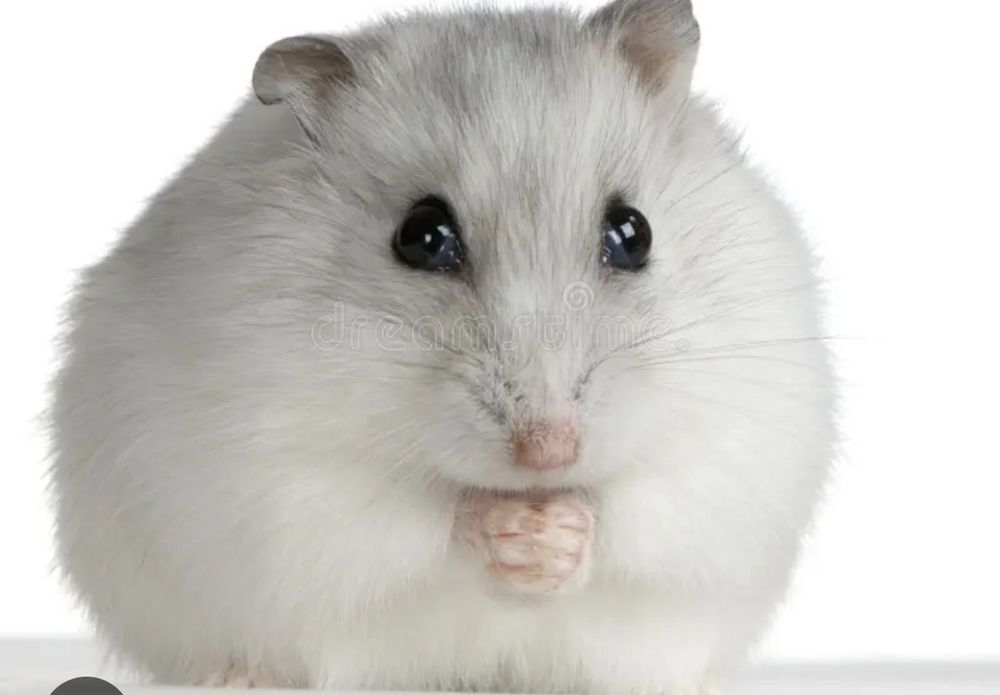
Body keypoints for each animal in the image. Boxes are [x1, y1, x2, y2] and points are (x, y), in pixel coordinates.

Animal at [50, 1, 835, 692]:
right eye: (422, 237)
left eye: (632, 233)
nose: (548, 451)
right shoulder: (285, 477)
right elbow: (427, 517)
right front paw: (516, 531)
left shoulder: (730, 451)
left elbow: (629, 513)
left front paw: (553, 536)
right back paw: (237, 677)